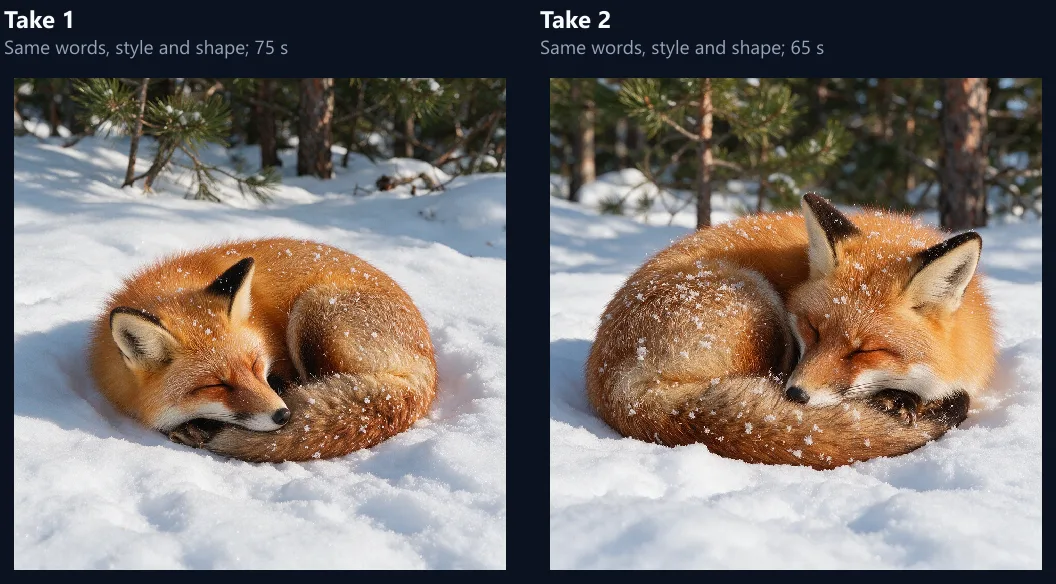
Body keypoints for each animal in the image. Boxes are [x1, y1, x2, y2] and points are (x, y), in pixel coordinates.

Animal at [585, 194, 997, 470]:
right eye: (812, 329)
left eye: (864, 351)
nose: (795, 395)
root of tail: (615, 384)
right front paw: (901, 402)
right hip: (758, 305)